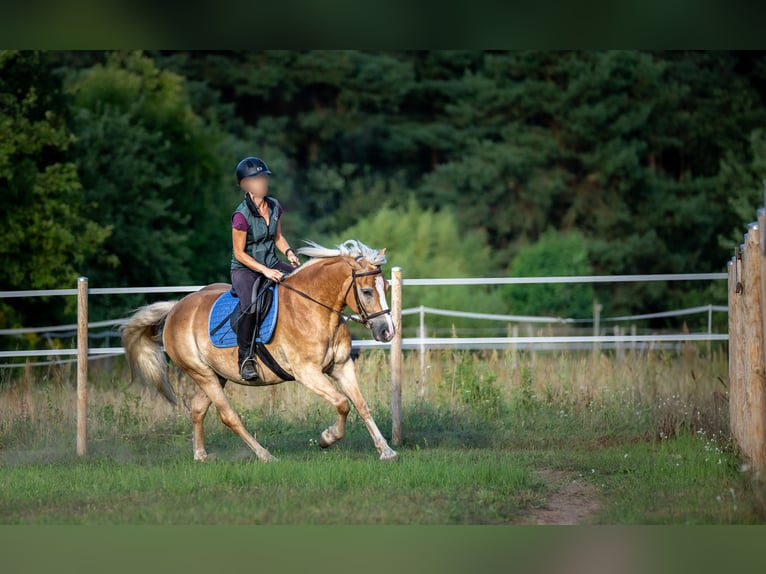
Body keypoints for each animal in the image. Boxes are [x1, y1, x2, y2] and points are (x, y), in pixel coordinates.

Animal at [121, 241, 396, 466]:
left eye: (386, 287)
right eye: (367, 292)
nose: (388, 332)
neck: (314, 310)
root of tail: (176, 307)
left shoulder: (341, 366)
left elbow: (361, 405)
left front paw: (386, 451)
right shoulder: (307, 372)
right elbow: (342, 403)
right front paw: (327, 438)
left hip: (216, 374)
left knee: (198, 408)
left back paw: (200, 455)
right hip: (201, 374)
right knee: (229, 416)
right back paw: (265, 455)